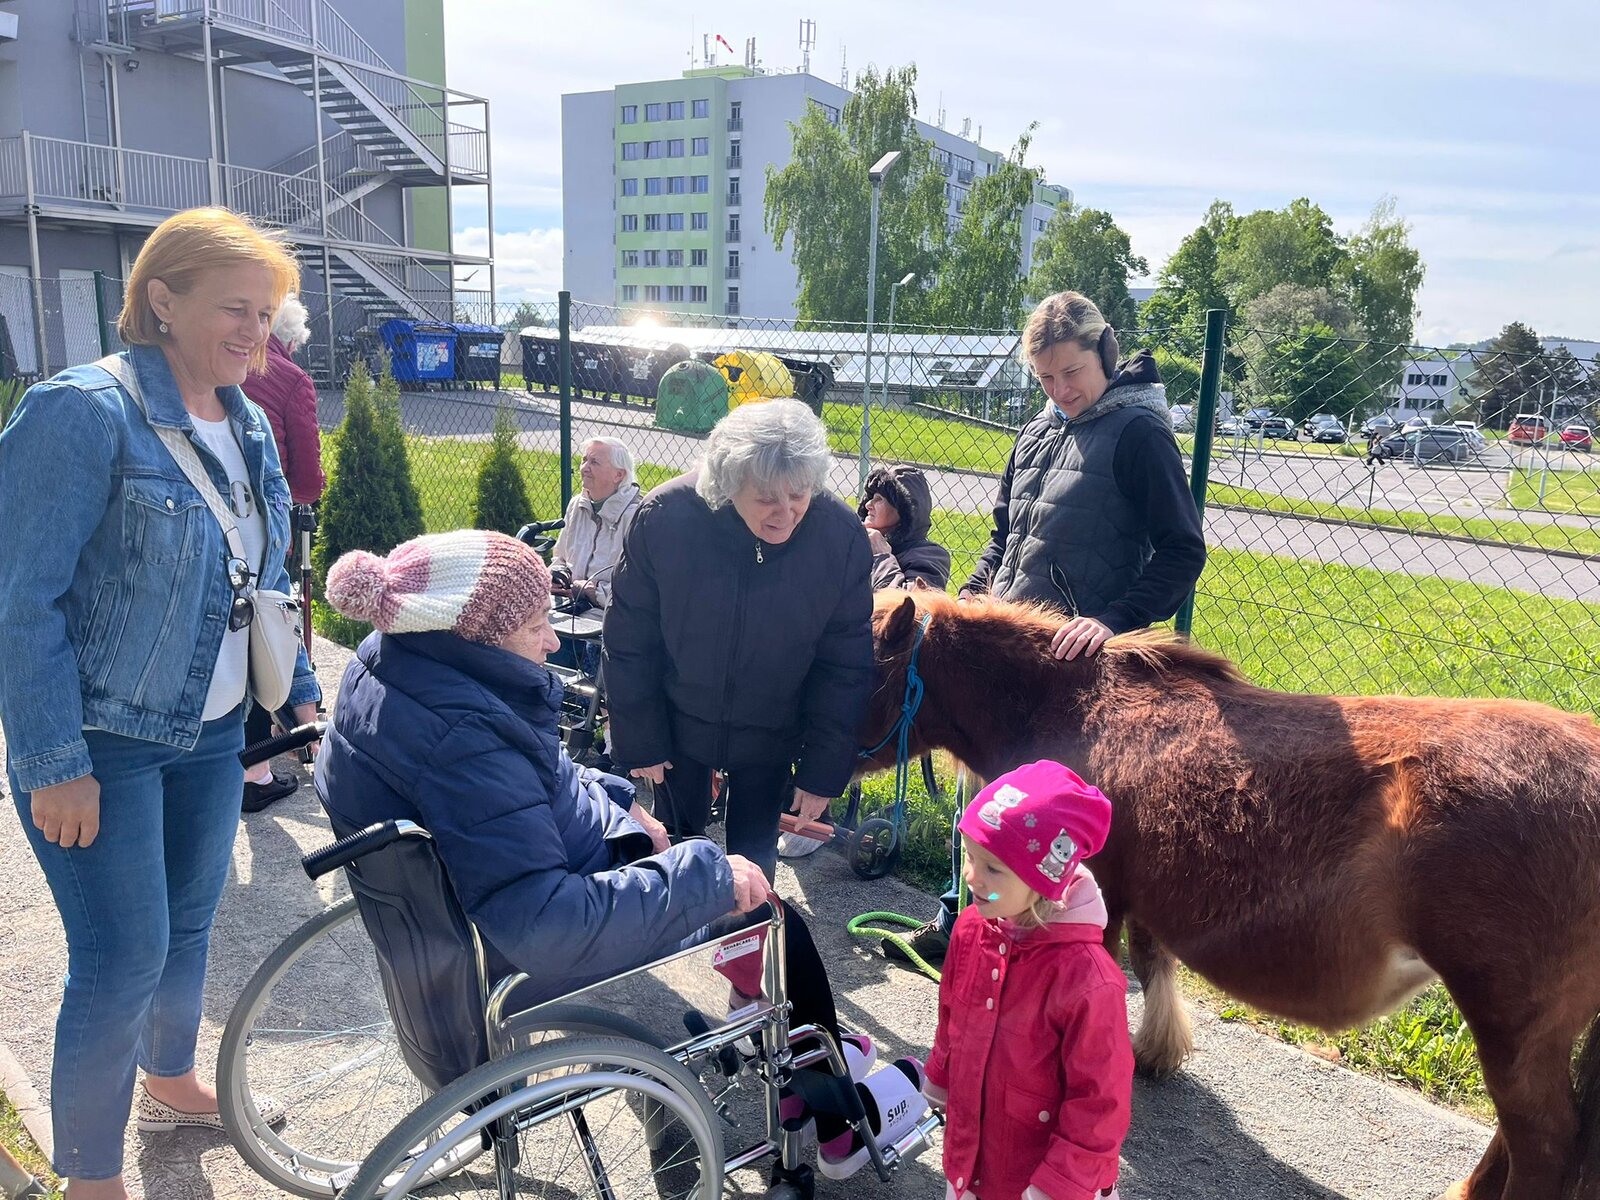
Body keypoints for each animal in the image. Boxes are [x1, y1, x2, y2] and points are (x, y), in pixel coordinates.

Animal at [863, 590, 1600, 1200]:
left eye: (857, 665)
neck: (1073, 709)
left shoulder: (1100, 891)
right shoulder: (1149, 891)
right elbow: (1153, 961)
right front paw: (1155, 1051)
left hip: (1511, 1020)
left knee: (1544, 1146)